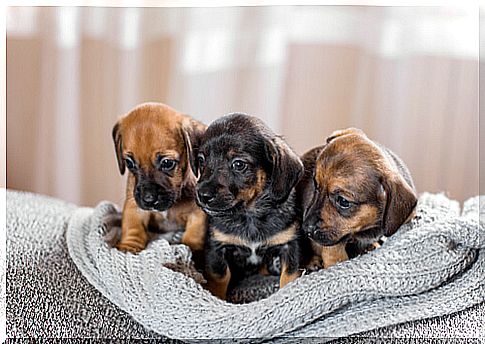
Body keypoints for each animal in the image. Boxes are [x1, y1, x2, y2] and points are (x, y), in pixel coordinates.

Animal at [111, 101, 206, 253]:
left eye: (167, 163)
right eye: (129, 163)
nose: (148, 199)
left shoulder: (197, 214)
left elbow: (194, 235)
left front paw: (191, 249)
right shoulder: (134, 206)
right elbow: (133, 227)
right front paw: (129, 246)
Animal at [193, 114, 302, 300]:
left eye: (238, 164)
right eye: (201, 160)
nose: (203, 195)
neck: (249, 215)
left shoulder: (290, 245)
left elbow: (289, 277)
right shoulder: (217, 247)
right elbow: (220, 277)